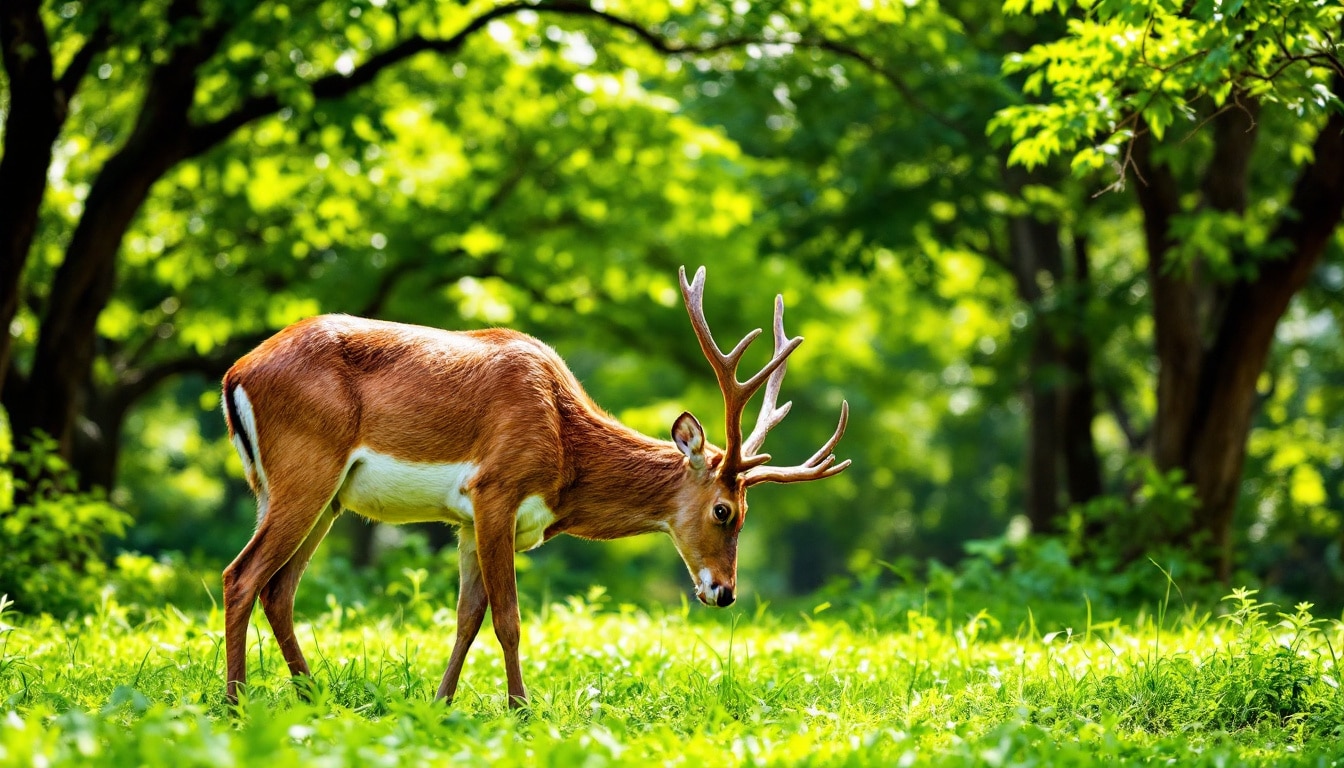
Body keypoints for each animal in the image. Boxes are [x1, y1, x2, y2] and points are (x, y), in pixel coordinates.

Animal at [220, 266, 849, 710]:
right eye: (724, 511)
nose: (724, 593)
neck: (565, 453)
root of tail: (235, 375)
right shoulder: (495, 490)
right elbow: (508, 618)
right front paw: (522, 710)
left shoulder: (466, 521)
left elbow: (466, 618)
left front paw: (440, 704)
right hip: (306, 471)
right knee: (241, 576)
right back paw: (235, 704)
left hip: (316, 497)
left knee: (278, 590)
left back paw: (312, 697)